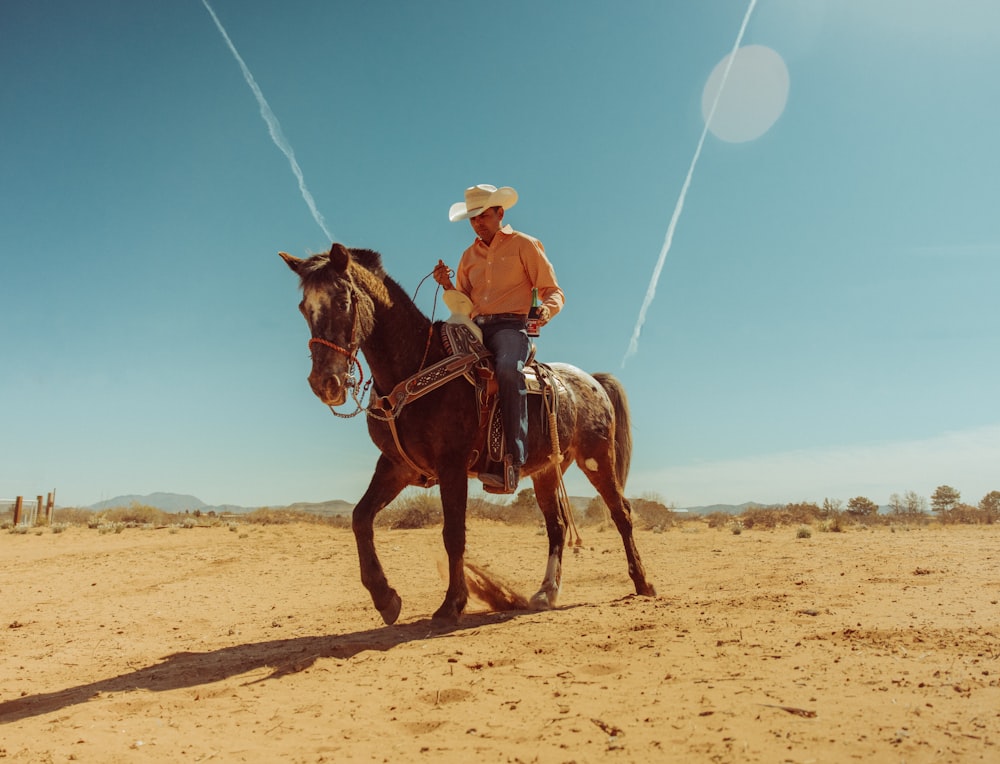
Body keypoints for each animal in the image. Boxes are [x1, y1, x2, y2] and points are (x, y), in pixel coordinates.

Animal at [282, 242, 656, 624]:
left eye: (343, 302)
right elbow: (360, 518)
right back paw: (546, 592)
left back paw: (642, 583)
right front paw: (385, 597)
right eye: (303, 307)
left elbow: (453, 533)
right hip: (547, 471)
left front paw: (453, 602)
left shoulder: (452, 464)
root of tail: (592, 380)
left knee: (621, 513)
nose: (324, 383)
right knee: (557, 526)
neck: (415, 365)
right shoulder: (397, 466)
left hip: (597, 458)